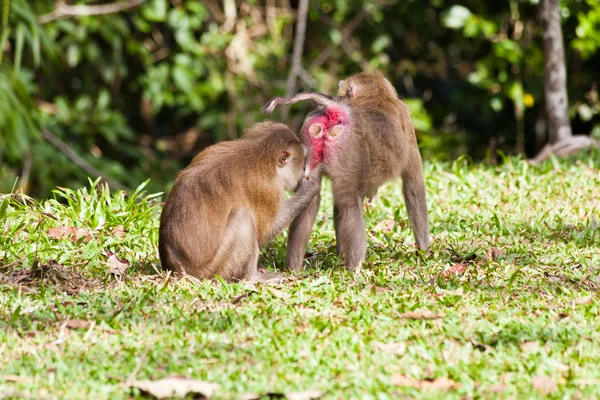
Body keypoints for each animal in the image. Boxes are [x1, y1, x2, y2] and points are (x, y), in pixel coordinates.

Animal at [157, 121, 322, 282]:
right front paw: (309, 189)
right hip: (212, 270)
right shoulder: (266, 188)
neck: (261, 156)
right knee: (243, 217)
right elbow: (265, 232)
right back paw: (252, 278)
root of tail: (176, 270)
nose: (303, 171)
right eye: (302, 163)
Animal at [262, 71, 432, 272]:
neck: (375, 96)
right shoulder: (406, 120)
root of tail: (336, 108)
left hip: (311, 133)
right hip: (349, 144)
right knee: (351, 204)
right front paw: (424, 252)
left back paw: (293, 268)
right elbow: (413, 186)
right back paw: (355, 269)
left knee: (311, 195)